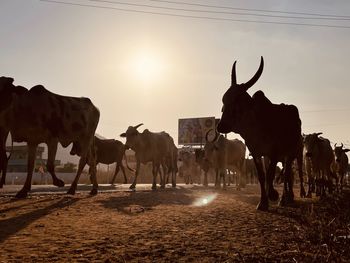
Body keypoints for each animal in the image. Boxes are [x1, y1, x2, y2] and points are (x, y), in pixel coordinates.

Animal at [217, 56, 304, 211]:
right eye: (224, 100)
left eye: (238, 102)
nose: (221, 126)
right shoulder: (257, 153)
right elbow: (262, 176)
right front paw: (263, 202)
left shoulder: (275, 152)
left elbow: (270, 175)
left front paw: (273, 195)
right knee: (286, 175)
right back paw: (286, 197)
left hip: (291, 154)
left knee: (288, 174)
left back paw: (284, 198)